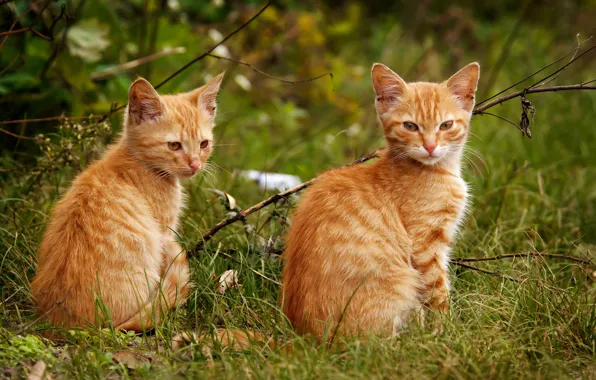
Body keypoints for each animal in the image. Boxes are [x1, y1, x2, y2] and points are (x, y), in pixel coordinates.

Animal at [280, 63, 480, 342]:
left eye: (446, 125)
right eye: (410, 126)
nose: (430, 146)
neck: (435, 170)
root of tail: (303, 338)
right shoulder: (425, 246)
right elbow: (438, 292)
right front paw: (446, 331)